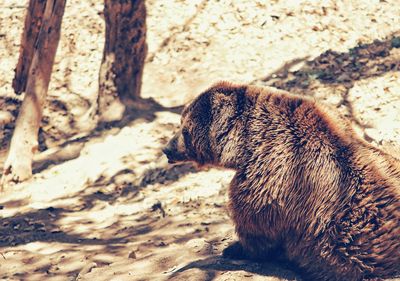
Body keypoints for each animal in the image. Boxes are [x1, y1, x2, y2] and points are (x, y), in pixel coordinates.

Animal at [162, 81, 400, 280]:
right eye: (180, 123)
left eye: (184, 128)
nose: (166, 149)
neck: (245, 144)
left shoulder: (269, 178)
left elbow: (256, 228)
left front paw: (234, 248)